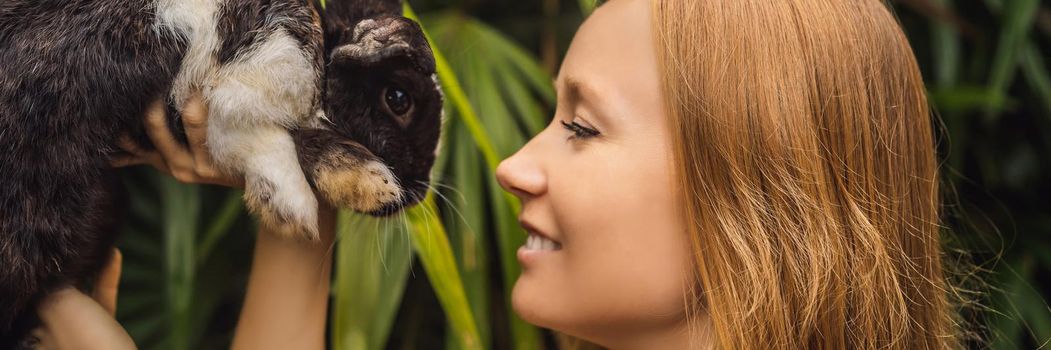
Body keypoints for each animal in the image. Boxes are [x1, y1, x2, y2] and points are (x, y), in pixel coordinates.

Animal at [0, 0, 441, 342]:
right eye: (398, 99)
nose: (415, 194)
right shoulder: (235, 73)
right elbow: (251, 126)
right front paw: (297, 204)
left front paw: (359, 183)